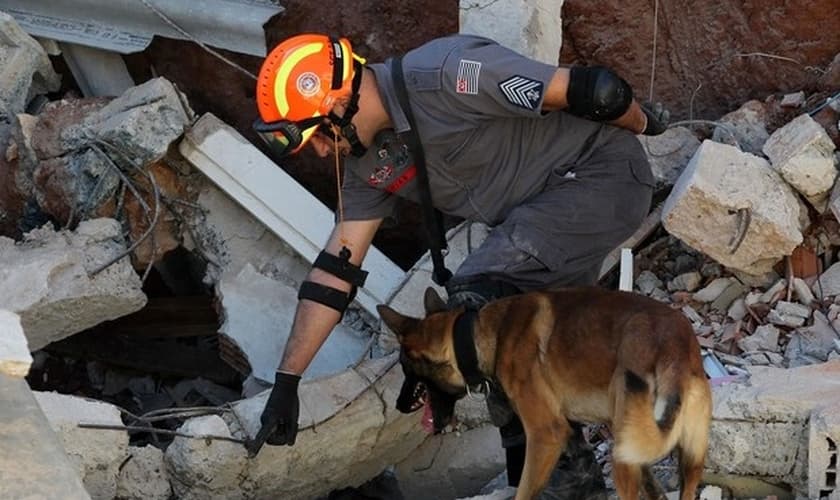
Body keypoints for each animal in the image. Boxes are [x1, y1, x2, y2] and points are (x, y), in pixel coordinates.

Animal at [378, 286, 712, 500]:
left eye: (404, 368)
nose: (398, 405)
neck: (478, 335)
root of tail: (675, 349)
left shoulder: (545, 435)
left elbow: (524, 493)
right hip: (683, 455)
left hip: (622, 455)